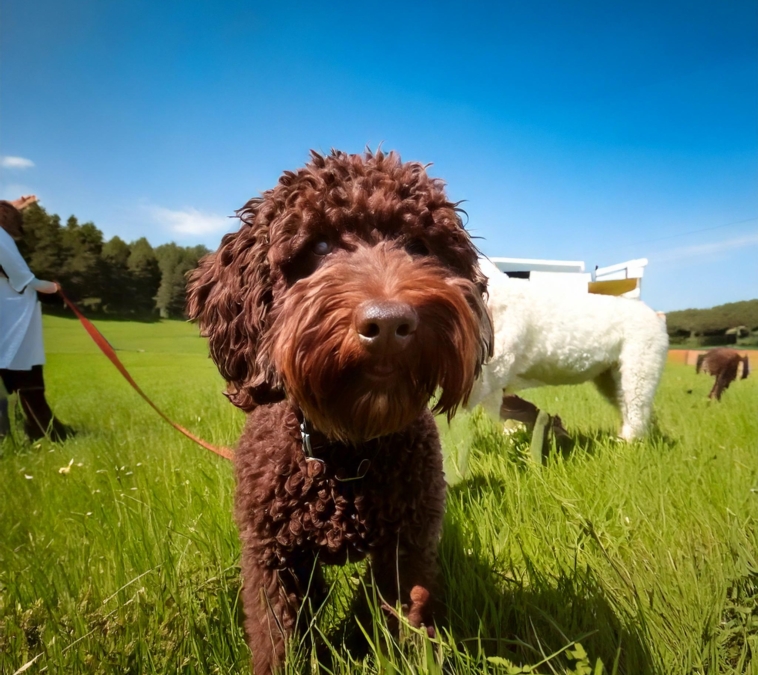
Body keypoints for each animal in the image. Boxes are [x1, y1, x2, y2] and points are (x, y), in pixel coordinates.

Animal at [188, 149, 496, 675]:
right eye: (319, 244)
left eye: (419, 245)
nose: (390, 323)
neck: (346, 453)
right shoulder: (273, 556)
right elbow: (278, 637)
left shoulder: (405, 548)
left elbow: (401, 621)